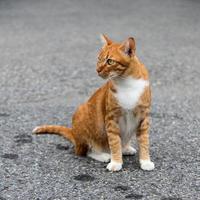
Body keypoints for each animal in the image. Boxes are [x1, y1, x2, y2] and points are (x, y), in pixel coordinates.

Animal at [32, 34, 155, 172]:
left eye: (110, 61)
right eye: (99, 59)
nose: (97, 70)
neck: (126, 82)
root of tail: (74, 134)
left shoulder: (144, 117)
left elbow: (144, 141)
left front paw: (145, 161)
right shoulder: (111, 118)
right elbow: (114, 142)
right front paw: (116, 162)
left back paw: (126, 148)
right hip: (81, 112)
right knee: (84, 151)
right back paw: (103, 155)